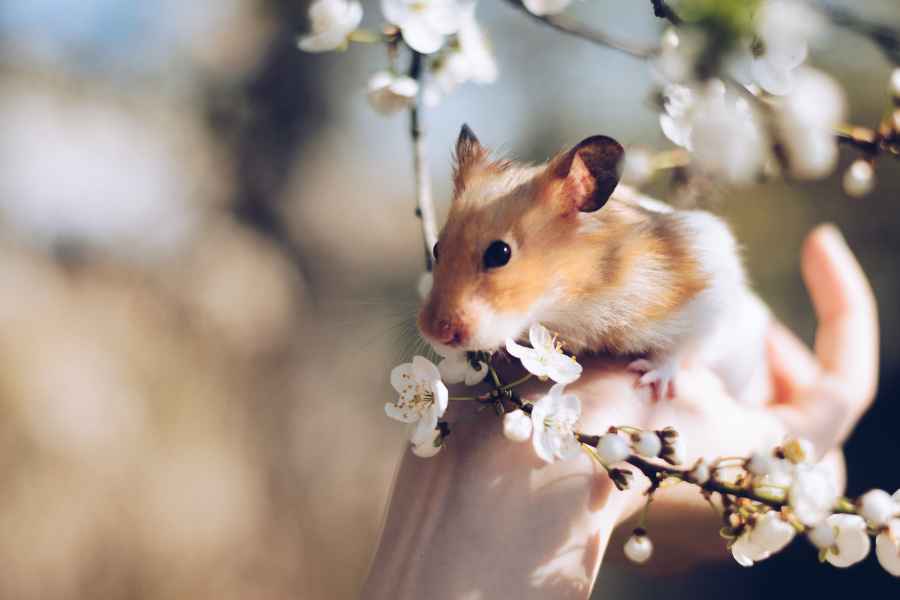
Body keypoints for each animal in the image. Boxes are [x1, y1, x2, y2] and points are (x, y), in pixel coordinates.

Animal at [418, 124, 770, 402]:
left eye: (499, 253)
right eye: (436, 248)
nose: (434, 333)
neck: (572, 298)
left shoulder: (708, 290)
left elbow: (681, 348)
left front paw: (649, 379)